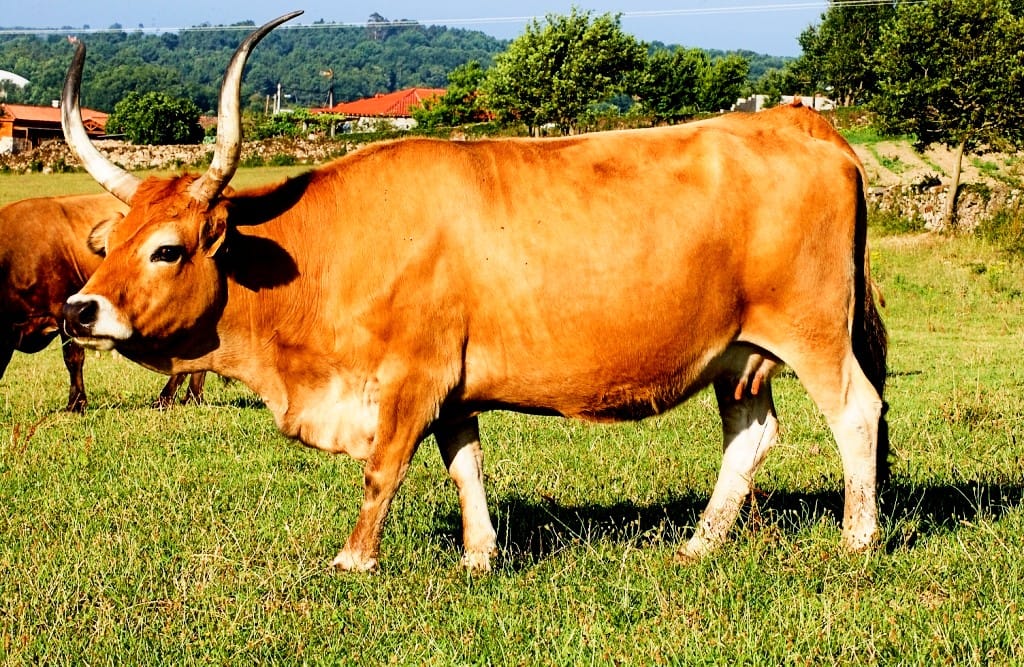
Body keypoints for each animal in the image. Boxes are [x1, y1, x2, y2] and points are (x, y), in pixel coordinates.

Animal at [60, 12, 887, 572]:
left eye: (167, 249)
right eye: (109, 244)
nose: (79, 309)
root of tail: (797, 121)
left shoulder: (412, 376)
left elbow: (384, 467)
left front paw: (354, 558)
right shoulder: (454, 385)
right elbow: (466, 465)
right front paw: (480, 554)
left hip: (813, 331)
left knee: (855, 410)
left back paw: (859, 536)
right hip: (738, 351)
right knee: (749, 435)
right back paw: (698, 544)